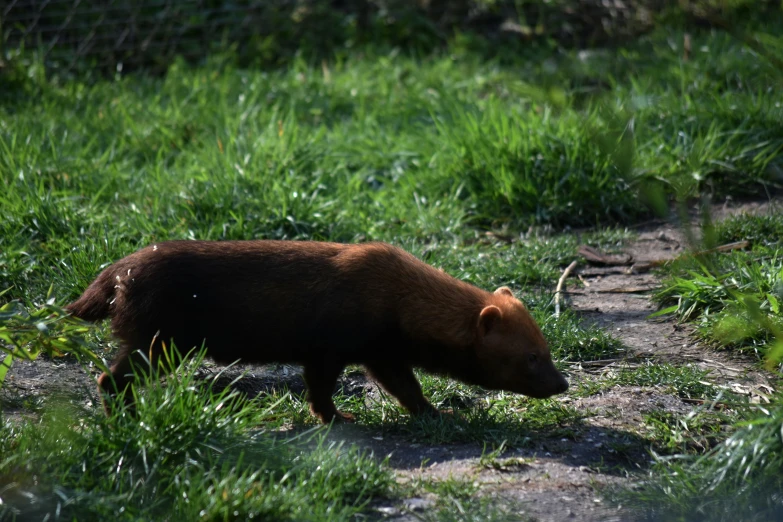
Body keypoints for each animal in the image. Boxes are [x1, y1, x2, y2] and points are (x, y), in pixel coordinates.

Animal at [67, 238, 568, 420]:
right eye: (532, 356)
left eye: (545, 346)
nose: (563, 383)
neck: (400, 295)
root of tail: (118, 272)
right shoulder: (336, 350)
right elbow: (327, 391)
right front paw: (337, 418)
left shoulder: (377, 354)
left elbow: (404, 388)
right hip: (159, 344)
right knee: (109, 378)